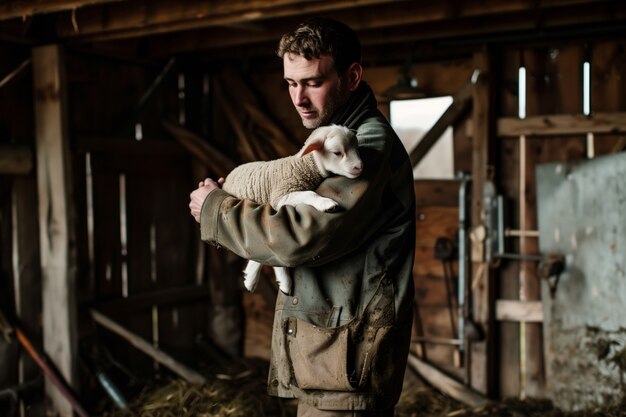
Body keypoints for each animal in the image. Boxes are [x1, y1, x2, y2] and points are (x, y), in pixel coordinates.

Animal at [223, 123, 360, 292]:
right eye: (337, 153)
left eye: (356, 147)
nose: (360, 167)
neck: (304, 166)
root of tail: (231, 173)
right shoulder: (280, 197)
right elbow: (309, 194)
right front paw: (327, 204)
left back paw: (257, 279)